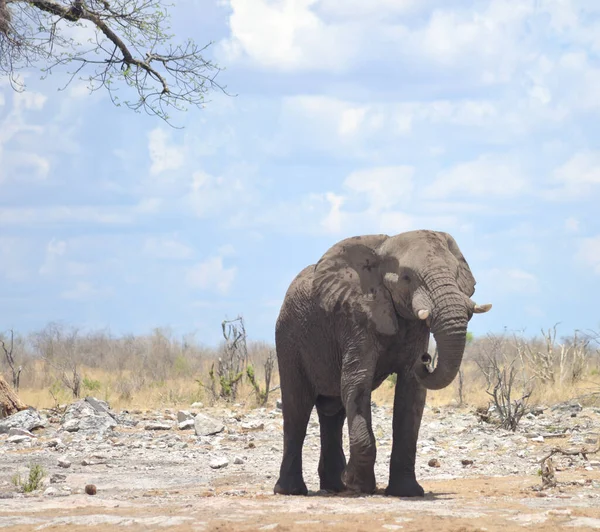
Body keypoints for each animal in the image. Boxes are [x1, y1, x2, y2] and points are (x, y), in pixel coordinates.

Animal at [274, 230, 490, 498]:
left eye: (455, 273)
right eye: (407, 277)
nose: (425, 358)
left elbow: (411, 394)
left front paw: (407, 492)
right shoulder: (355, 316)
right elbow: (357, 382)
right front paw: (357, 484)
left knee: (333, 413)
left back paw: (334, 486)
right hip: (288, 338)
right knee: (297, 409)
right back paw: (292, 491)